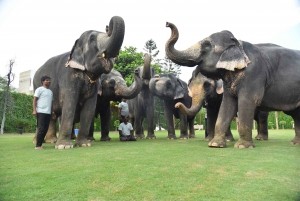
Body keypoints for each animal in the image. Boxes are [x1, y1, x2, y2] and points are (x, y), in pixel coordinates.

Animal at [33, 16, 125, 149]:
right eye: (92, 39)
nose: (108, 27)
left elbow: (89, 109)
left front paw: (84, 144)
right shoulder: (68, 77)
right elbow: (69, 104)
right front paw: (63, 147)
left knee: (51, 117)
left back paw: (51, 141)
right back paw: (40, 142)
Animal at [165, 21, 300, 148]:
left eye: (206, 45)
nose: (167, 24)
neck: (238, 44)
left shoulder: (253, 74)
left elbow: (247, 101)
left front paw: (241, 146)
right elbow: (227, 104)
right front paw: (215, 144)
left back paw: (262, 139)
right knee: (295, 114)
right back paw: (295, 143)